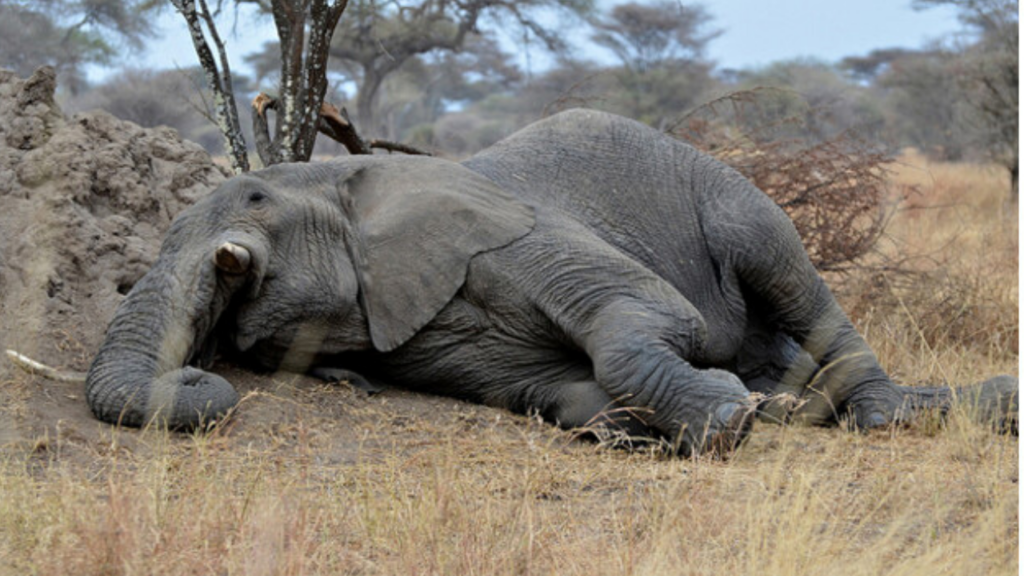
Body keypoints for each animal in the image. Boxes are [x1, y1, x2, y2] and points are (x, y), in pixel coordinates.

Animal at [83, 109, 1017, 456]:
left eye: (254, 198)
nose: (200, 373)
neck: (357, 179)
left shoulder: (519, 234)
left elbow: (650, 318)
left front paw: (728, 419)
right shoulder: (428, 340)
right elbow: (554, 390)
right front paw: (648, 426)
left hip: (732, 199)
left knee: (790, 274)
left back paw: (874, 413)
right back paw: (788, 401)